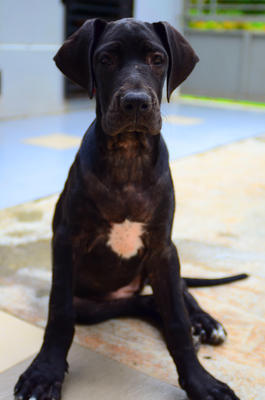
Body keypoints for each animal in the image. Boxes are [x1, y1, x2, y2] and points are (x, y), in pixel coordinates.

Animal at [13, 18, 245, 400]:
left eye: (157, 59)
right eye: (105, 59)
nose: (136, 103)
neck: (128, 157)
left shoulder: (163, 248)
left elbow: (177, 319)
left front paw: (201, 382)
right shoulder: (66, 241)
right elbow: (59, 313)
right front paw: (44, 372)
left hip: (162, 261)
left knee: (180, 296)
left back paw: (204, 323)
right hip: (94, 305)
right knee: (145, 304)